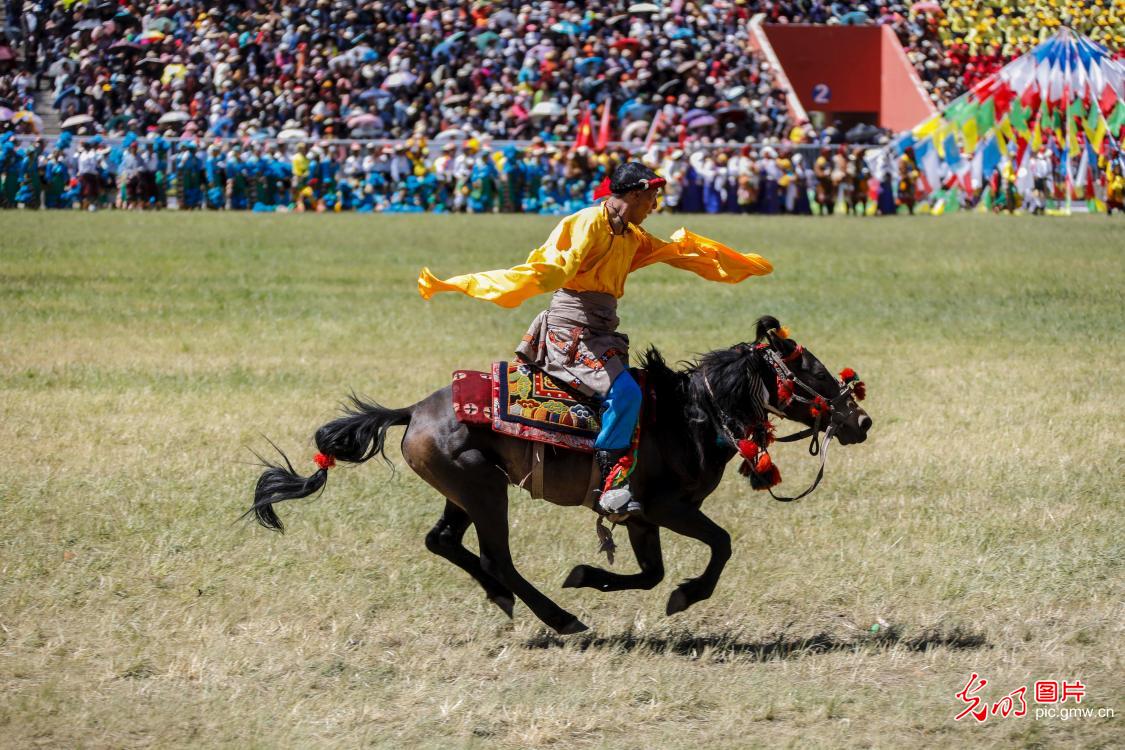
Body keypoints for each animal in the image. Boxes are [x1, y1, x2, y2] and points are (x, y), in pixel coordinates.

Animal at [250, 317, 873, 634]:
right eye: (813, 370)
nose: (860, 420)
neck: (691, 415)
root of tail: (415, 410)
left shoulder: (640, 517)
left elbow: (650, 573)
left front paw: (587, 575)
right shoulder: (667, 508)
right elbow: (719, 545)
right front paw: (685, 596)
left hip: (465, 488)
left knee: (443, 540)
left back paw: (506, 599)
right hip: (484, 489)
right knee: (495, 555)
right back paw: (559, 616)